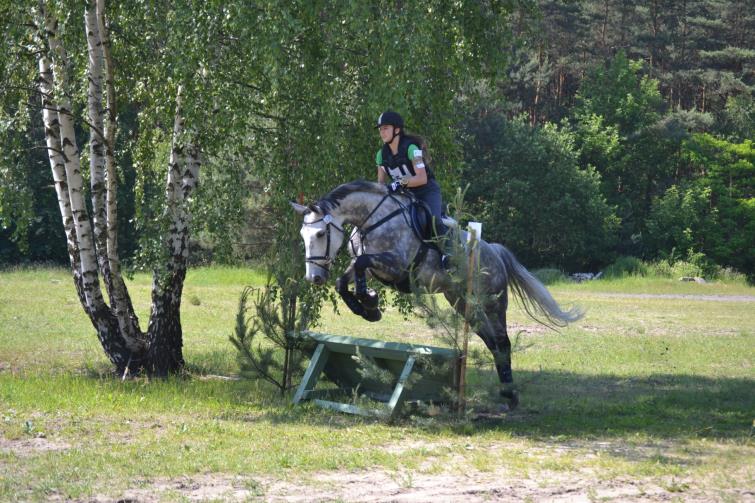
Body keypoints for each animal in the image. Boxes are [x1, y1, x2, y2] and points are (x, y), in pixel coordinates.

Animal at [290, 179, 584, 408]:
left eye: (320, 233)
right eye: (303, 235)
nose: (313, 278)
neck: (373, 220)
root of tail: (495, 251)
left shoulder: (396, 264)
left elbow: (362, 265)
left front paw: (369, 300)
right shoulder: (368, 265)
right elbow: (345, 280)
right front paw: (367, 307)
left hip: (492, 304)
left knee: (503, 342)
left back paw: (510, 396)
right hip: (463, 303)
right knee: (491, 342)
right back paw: (502, 393)